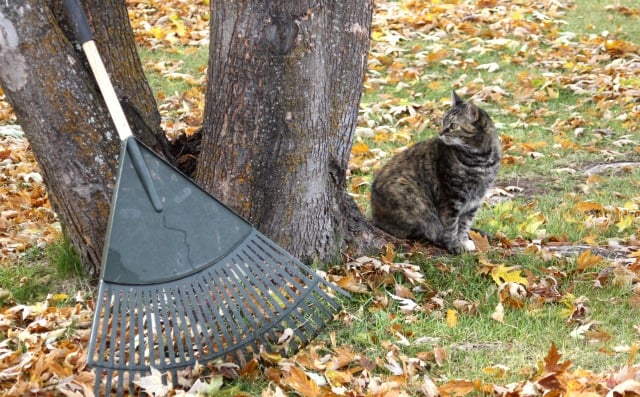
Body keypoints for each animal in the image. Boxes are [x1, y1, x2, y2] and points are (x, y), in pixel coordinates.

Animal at [370, 92, 500, 254]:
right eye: (443, 122)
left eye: (454, 126)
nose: (440, 133)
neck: (480, 160)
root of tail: (374, 214)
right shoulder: (450, 199)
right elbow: (451, 226)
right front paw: (454, 245)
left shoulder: (474, 201)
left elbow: (464, 225)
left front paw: (464, 240)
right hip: (412, 196)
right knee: (425, 229)